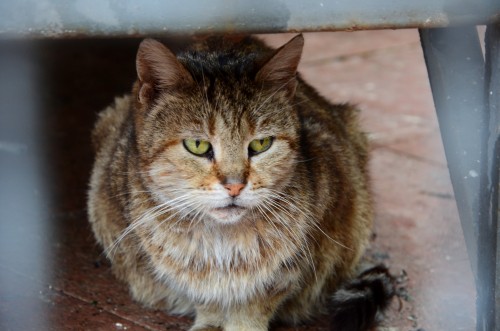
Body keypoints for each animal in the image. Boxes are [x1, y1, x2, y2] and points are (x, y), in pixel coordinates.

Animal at [89, 35, 394, 330]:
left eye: (261, 144)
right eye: (198, 145)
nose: (234, 185)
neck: (222, 243)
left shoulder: (293, 265)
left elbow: (254, 304)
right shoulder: (195, 279)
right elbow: (206, 298)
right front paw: (209, 322)